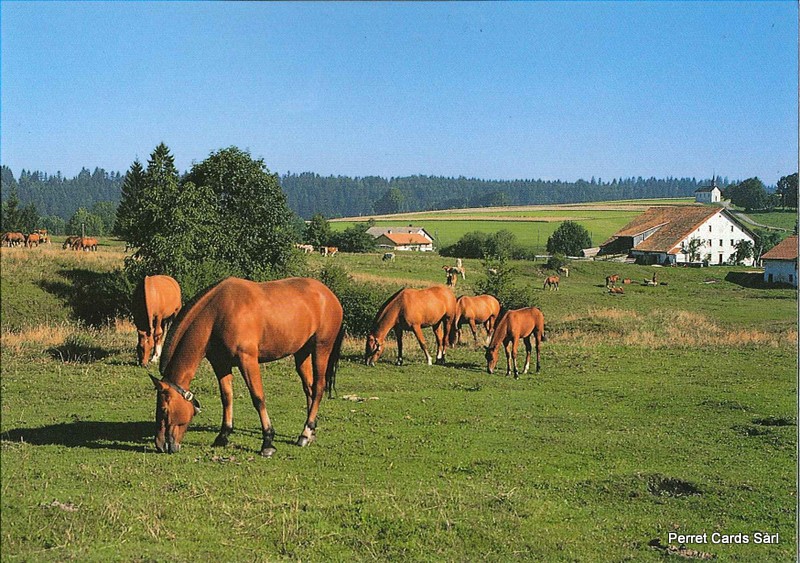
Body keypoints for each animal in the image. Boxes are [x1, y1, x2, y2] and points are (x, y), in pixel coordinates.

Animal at [150, 278, 344, 458]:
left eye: (164, 410)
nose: (159, 445)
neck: (218, 314)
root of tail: (330, 295)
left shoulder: (248, 360)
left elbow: (258, 398)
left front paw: (268, 442)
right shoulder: (221, 364)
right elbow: (227, 397)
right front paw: (223, 436)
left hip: (321, 349)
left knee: (318, 388)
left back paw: (305, 433)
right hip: (302, 353)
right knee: (309, 389)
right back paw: (310, 433)